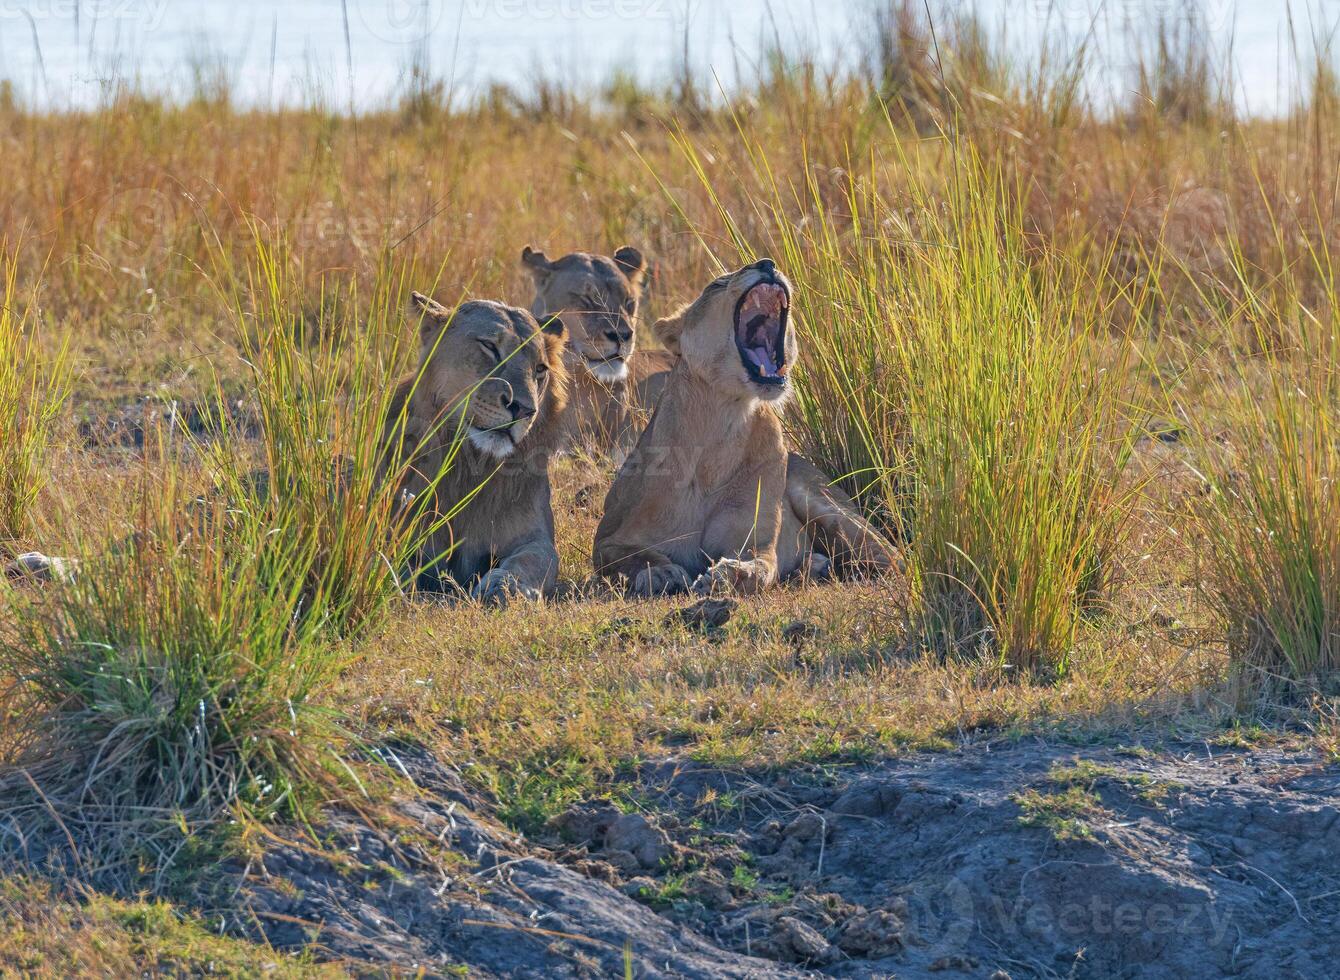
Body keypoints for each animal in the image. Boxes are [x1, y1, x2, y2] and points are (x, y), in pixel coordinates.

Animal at [391, 289, 573, 605]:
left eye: (539, 369)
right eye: (490, 347)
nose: (524, 409)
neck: (473, 464)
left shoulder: (536, 537)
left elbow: (534, 560)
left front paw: (507, 586)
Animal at [592, 258, 895, 597]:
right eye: (716, 284)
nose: (767, 264)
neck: (723, 423)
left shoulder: (756, 540)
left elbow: (762, 565)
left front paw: (730, 575)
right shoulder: (608, 536)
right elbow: (623, 555)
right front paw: (661, 571)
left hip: (824, 503)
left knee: (892, 557)